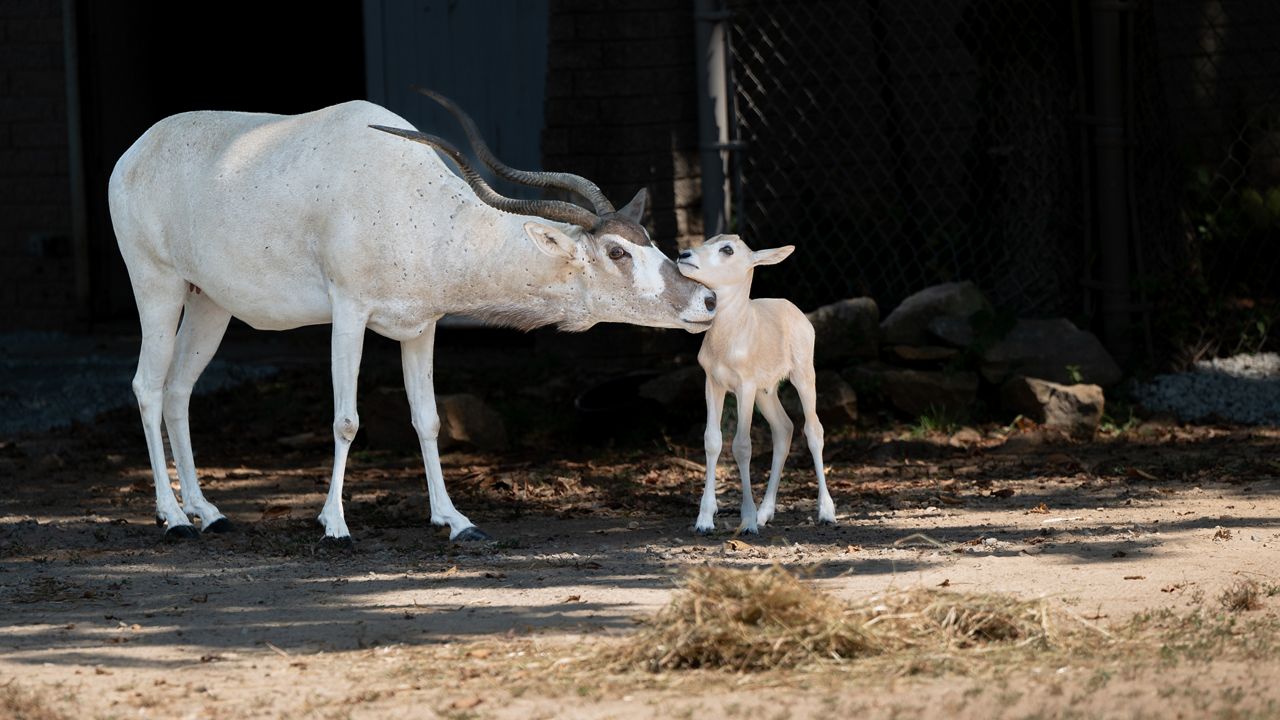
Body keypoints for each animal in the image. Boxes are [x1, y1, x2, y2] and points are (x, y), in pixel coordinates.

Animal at [104, 94, 716, 543]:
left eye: (647, 238)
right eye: (617, 252)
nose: (706, 302)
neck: (413, 203)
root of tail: (134, 153)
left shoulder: (421, 327)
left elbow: (429, 420)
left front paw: (458, 522)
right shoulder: (349, 312)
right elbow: (346, 420)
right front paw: (335, 525)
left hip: (209, 302)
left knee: (179, 389)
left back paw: (208, 512)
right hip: (156, 286)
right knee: (147, 386)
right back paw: (174, 519)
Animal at [675, 235, 834, 532]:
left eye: (727, 249)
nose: (684, 254)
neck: (728, 340)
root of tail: (792, 308)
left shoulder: (744, 387)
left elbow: (742, 445)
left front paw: (747, 520)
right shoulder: (713, 383)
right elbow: (712, 440)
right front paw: (704, 520)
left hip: (803, 375)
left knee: (813, 429)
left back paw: (826, 512)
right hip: (766, 391)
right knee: (783, 428)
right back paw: (765, 513)